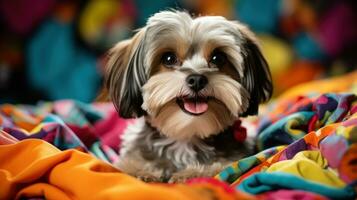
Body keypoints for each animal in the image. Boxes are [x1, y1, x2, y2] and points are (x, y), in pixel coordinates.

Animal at [103, 10, 272, 183]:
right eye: (169, 58)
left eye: (218, 58)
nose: (197, 79)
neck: (186, 136)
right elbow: (130, 166)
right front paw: (145, 172)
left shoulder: (235, 158)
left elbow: (218, 166)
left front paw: (190, 173)